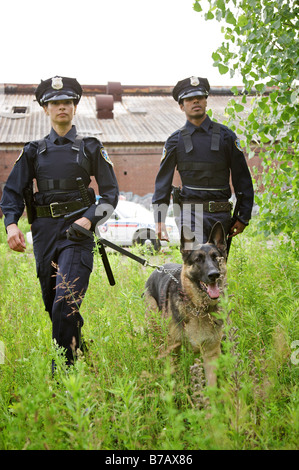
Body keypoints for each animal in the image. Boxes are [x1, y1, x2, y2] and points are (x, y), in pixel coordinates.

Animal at [145, 222, 227, 388]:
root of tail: (158, 268)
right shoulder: (173, 348)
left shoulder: (211, 354)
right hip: (155, 328)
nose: (214, 275)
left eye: (216, 258)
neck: (199, 308)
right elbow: (172, 378)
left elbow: (212, 386)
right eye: (198, 260)